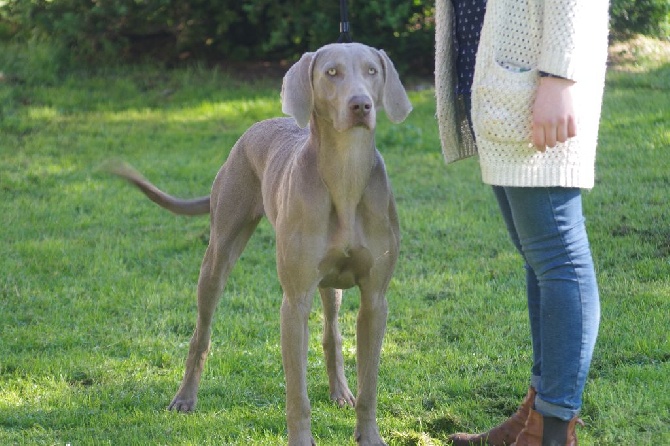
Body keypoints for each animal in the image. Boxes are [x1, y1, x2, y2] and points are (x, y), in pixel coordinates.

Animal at [108, 42, 412, 446]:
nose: (360, 105)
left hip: (330, 284)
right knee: (201, 334)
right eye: (331, 73)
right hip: (218, 256)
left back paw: (339, 391)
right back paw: (185, 398)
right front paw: (300, 439)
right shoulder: (294, 302)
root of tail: (257, 126)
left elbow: (370, 384)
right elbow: (296, 392)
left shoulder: (376, 300)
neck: (345, 175)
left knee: (332, 332)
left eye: (372, 71)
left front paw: (369, 434)